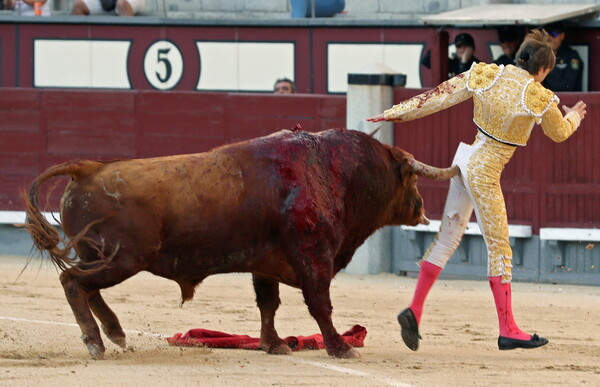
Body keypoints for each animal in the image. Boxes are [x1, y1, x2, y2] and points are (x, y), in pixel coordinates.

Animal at [21, 128, 458, 360]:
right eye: (411, 178)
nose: (422, 211)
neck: (334, 172)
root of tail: (89, 168)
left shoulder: (265, 265)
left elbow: (268, 304)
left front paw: (274, 345)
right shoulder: (314, 257)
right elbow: (320, 304)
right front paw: (339, 348)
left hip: (103, 258)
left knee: (87, 287)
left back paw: (114, 333)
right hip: (122, 259)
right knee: (74, 283)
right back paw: (95, 341)